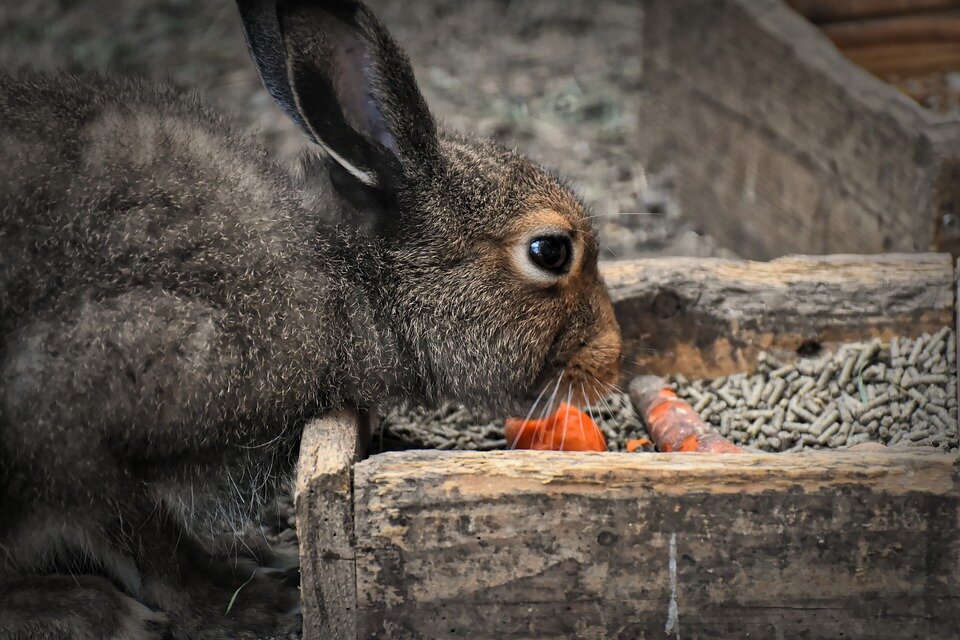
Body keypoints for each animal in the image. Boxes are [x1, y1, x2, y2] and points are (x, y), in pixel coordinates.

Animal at [0, 0, 624, 636]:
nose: (613, 358)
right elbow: (149, 542)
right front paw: (247, 603)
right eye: (550, 251)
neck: (344, 273)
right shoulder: (74, 388)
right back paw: (75, 606)